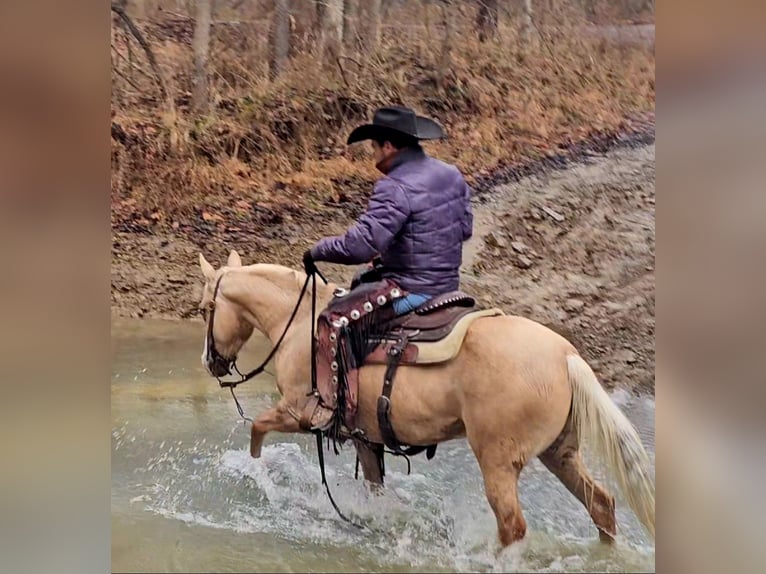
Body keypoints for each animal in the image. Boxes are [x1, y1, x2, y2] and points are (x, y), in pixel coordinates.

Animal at [196, 252, 656, 548]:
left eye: (203, 308)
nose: (210, 362)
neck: (299, 328)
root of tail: (565, 356)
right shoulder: (364, 436)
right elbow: (376, 488)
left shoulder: (301, 412)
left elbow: (257, 430)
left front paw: (259, 474)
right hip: (559, 451)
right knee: (600, 504)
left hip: (498, 460)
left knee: (512, 525)